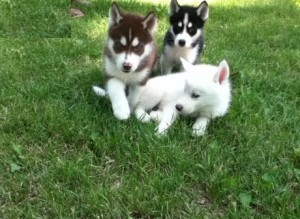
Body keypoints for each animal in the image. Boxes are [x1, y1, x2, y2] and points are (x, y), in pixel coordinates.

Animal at [93, 59, 230, 136]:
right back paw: (145, 117)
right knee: (137, 108)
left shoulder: (210, 113)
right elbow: (168, 119)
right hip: (155, 93)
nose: (178, 107)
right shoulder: (171, 105)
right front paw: (160, 132)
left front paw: (198, 129)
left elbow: (203, 119)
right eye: (184, 89)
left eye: (196, 95)